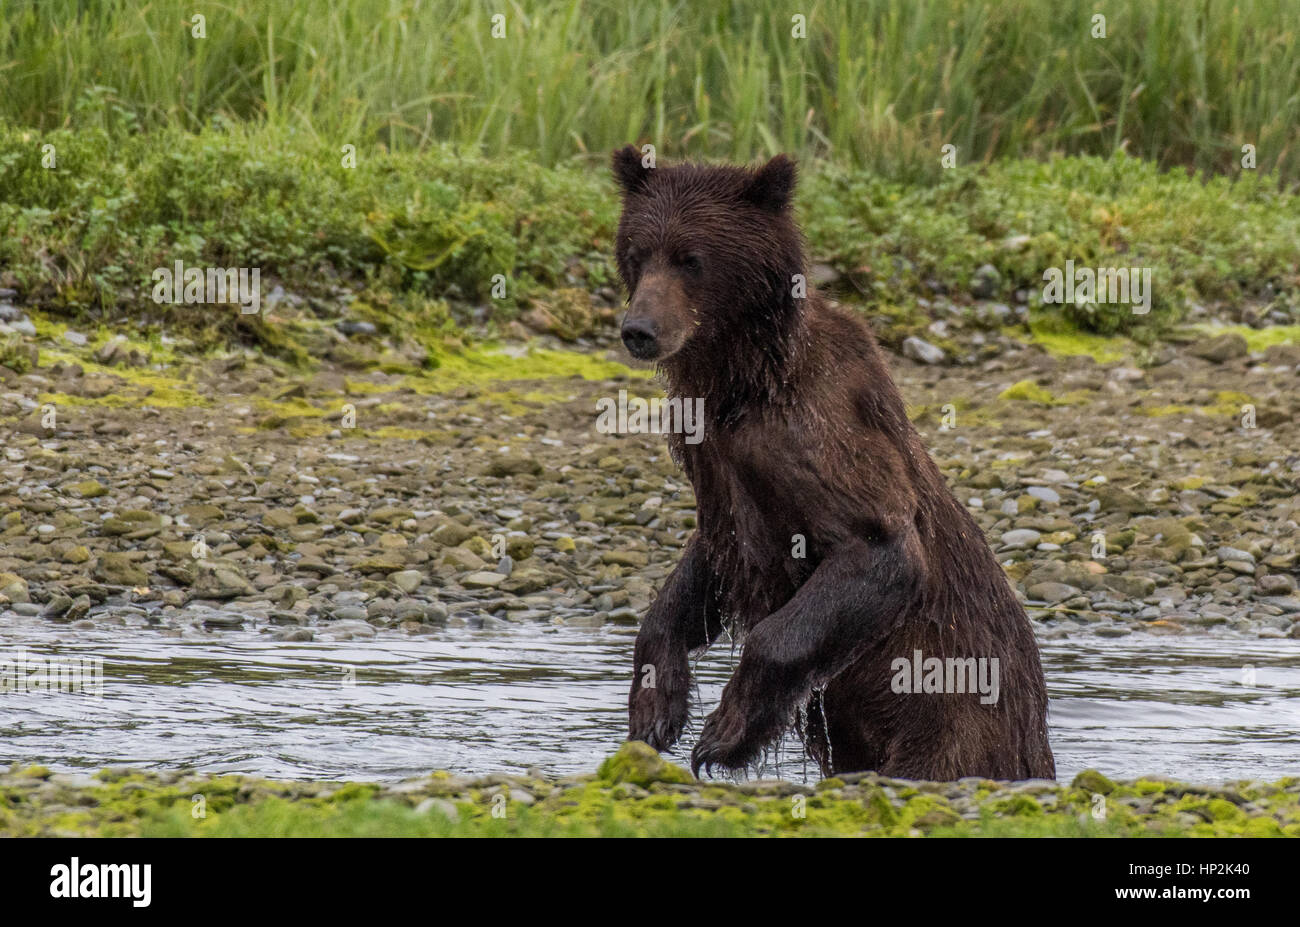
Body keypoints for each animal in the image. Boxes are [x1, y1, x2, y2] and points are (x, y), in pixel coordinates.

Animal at [611, 145, 1055, 781]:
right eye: (637, 253)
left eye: (691, 259)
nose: (639, 330)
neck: (742, 381)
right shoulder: (714, 465)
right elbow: (701, 570)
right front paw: (656, 707)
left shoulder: (821, 432)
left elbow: (876, 546)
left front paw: (723, 734)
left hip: (957, 726)